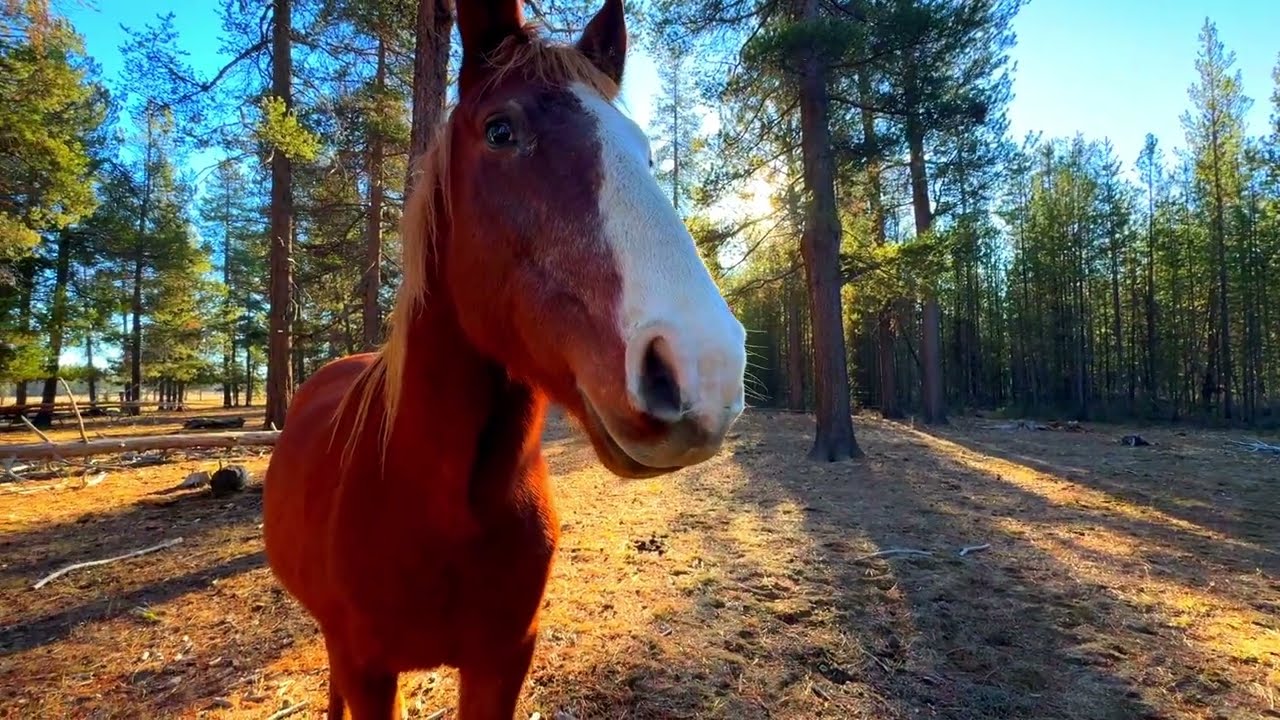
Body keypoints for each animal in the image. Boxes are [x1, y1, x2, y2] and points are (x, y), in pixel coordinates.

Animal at [261, 0, 747, 717]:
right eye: (500, 131)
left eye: (646, 150)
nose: (703, 367)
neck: (434, 503)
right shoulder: (369, 669)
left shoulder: (504, 659)